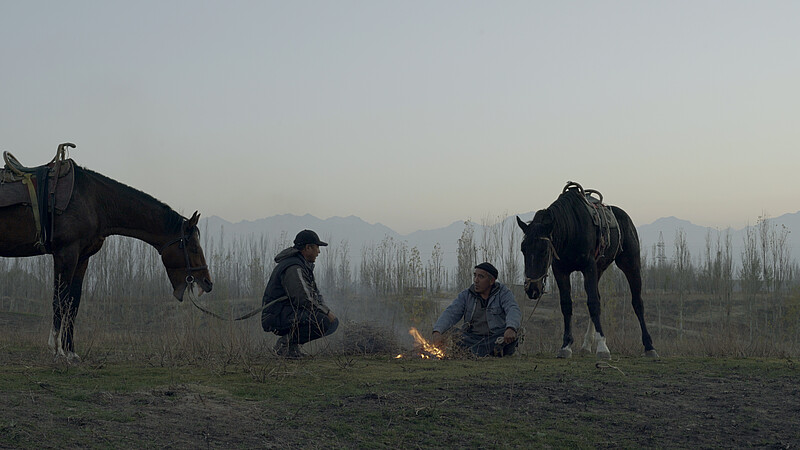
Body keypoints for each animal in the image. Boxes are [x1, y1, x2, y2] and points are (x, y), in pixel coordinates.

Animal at [0, 146, 212, 364]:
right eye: (193, 248)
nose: (207, 282)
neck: (93, 201)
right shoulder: (65, 253)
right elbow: (59, 300)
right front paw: (57, 349)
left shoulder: (82, 258)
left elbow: (73, 303)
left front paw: (71, 351)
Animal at [516, 182, 660, 358]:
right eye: (523, 249)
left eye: (544, 250)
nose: (532, 289)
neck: (571, 230)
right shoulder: (561, 271)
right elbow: (567, 304)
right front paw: (566, 346)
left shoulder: (588, 267)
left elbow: (593, 303)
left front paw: (603, 347)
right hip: (600, 268)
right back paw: (586, 345)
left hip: (631, 264)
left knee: (637, 302)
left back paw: (649, 347)